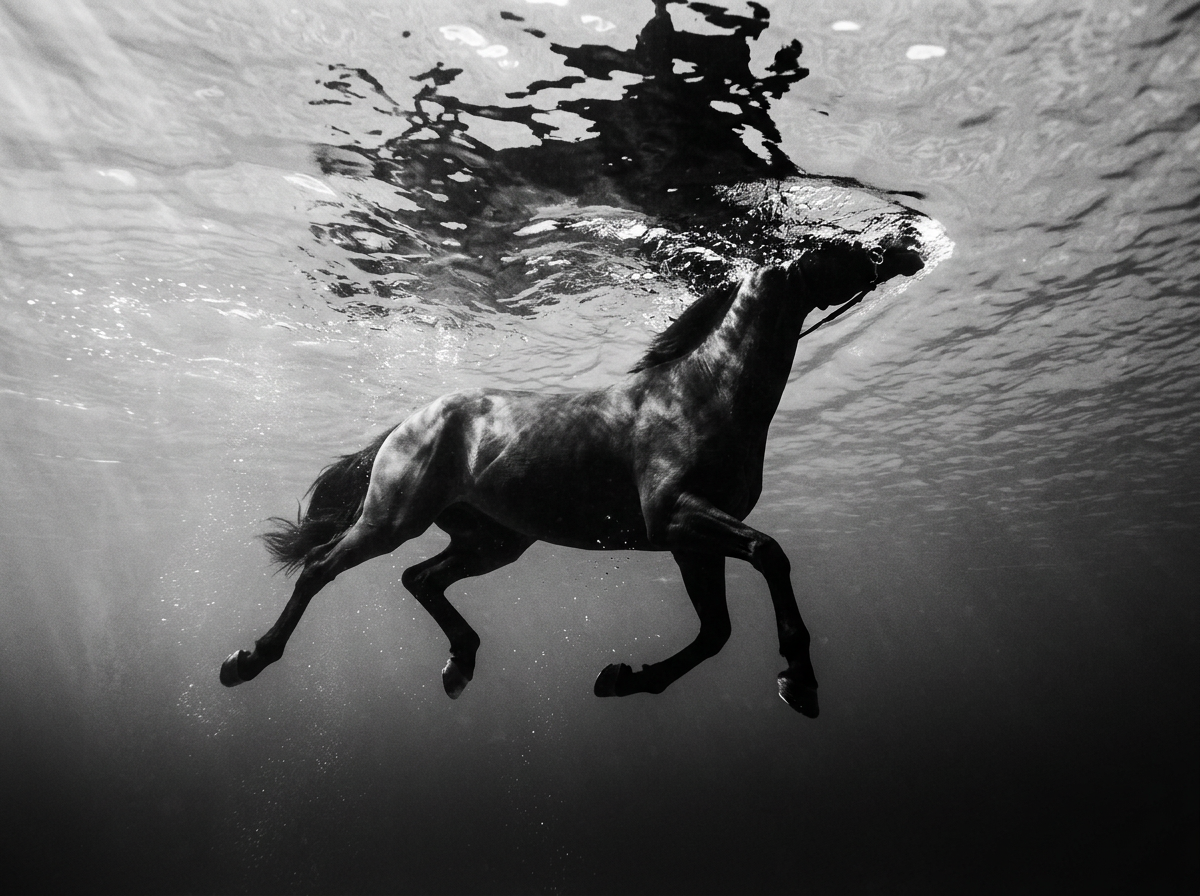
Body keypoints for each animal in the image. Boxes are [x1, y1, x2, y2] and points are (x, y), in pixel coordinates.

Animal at [220, 239, 924, 717]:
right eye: (838, 249)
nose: (905, 246)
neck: (705, 393)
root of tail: (409, 421)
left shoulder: (689, 543)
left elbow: (716, 631)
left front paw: (624, 678)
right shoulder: (675, 515)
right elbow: (770, 553)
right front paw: (799, 677)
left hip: (495, 541)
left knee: (420, 578)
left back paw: (460, 662)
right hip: (393, 518)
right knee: (321, 568)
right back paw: (248, 660)